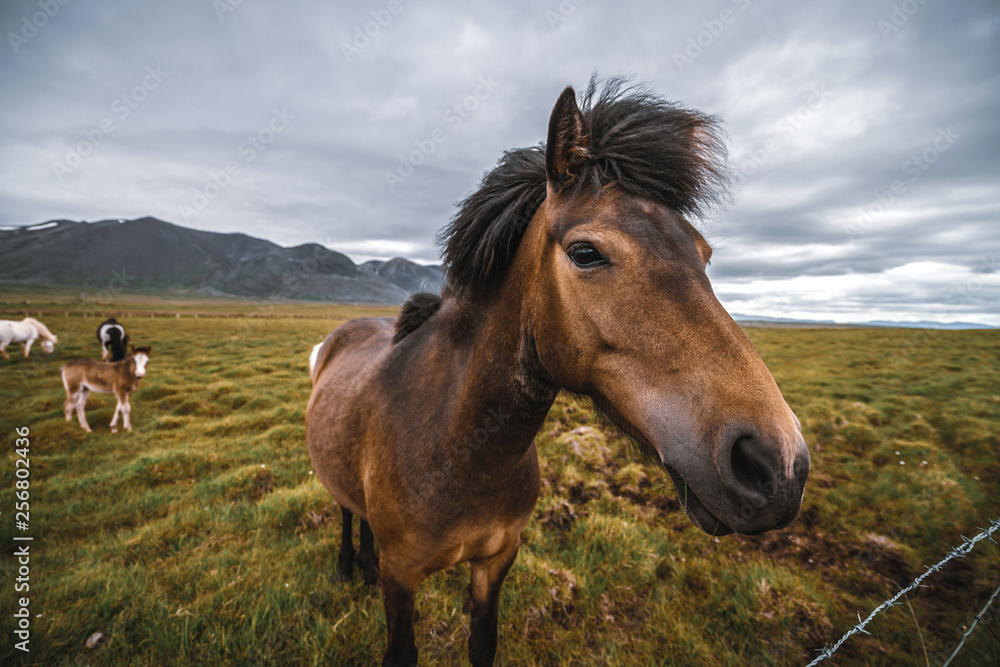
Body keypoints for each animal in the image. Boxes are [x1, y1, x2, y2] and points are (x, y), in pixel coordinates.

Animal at [308, 79, 808, 667]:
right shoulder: (401, 576)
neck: (456, 447)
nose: (778, 464)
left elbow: (482, 644)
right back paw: (349, 565)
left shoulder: (497, 558)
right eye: (586, 252)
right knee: (345, 512)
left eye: (704, 255)